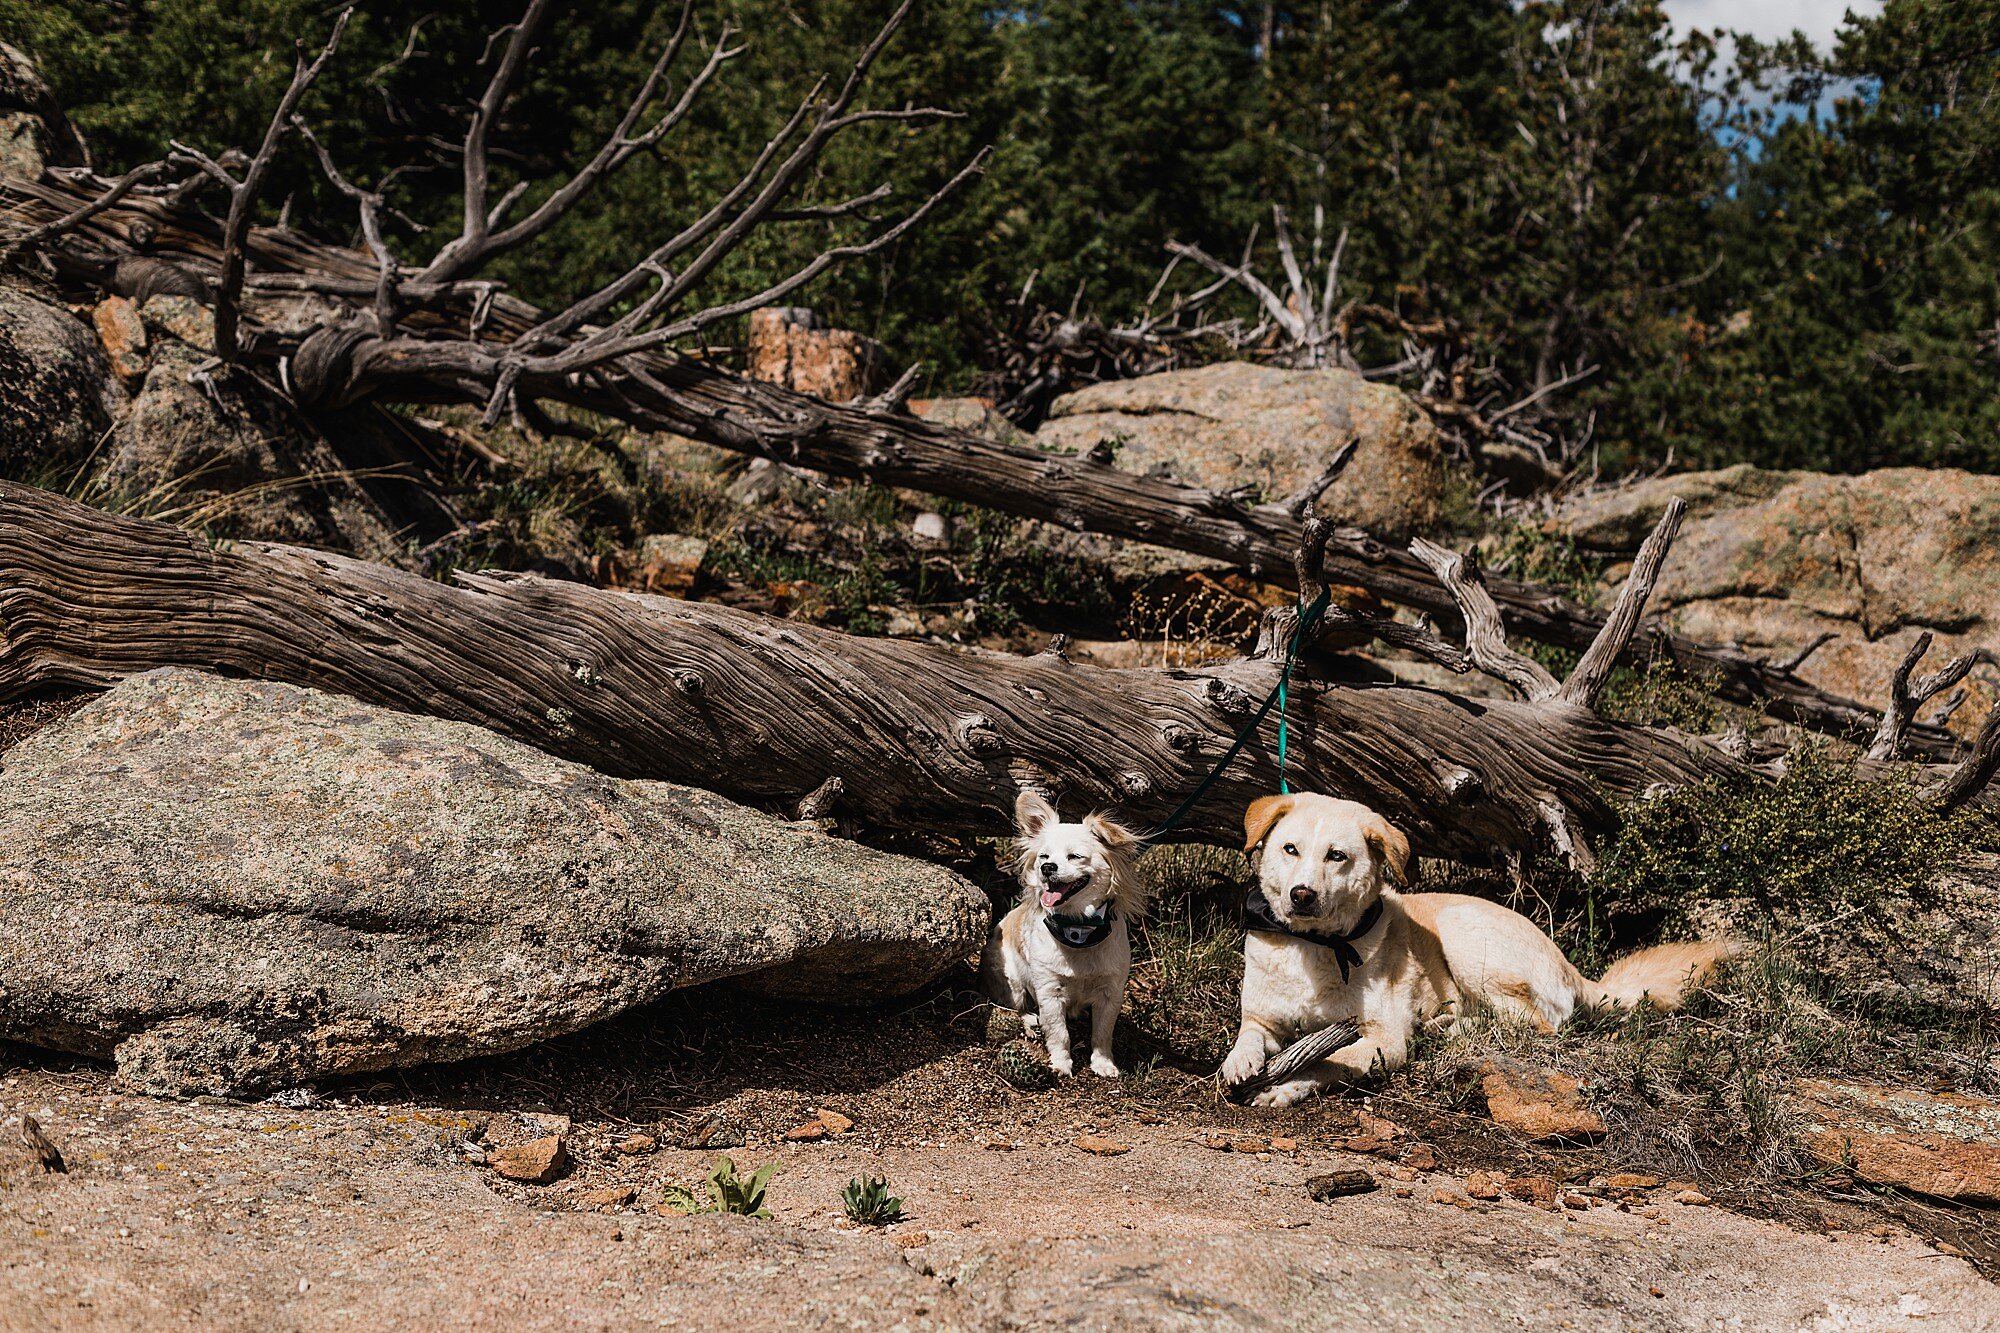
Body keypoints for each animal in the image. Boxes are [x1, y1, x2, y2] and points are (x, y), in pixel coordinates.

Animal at [980, 788, 1152, 1072]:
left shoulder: (1111, 992)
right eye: (1043, 857)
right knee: (1014, 1006)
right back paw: (1029, 1021)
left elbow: (1102, 1033)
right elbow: (1058, 1032)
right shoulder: (1049, 991)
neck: (1078, 928)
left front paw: (1103, 1063)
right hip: (1012, 980)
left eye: (1075, 856)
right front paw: (1060, 1063)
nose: (1047, 868)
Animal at [1216, 788, 1736, 1096]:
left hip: (1464, 938)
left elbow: (1332, 1059)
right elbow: (1247, 1037)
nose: (1302, 895)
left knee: (1534, 1026)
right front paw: (1238, 1064)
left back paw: (1452, 1030)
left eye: (1337, 856)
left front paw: (1287, 1085)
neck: (1315, 947)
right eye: (1290, 850)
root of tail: (1569, 966)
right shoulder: (1262, 1018)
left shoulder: (1384, 1040)